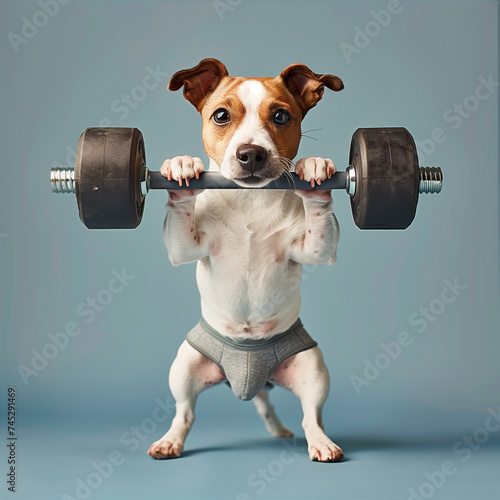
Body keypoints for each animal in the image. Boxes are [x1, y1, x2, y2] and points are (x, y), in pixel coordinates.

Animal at [146, 57, 346, 460]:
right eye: (221, 115)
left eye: (282, 116)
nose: (251, 153)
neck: (250, 202)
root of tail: (245, 383)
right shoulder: (185, 246)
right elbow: (180, 230)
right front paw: (180, 167)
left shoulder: (314, 248)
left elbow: (319, 230)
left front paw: (315, 167)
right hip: (186, 365)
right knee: (186, 412)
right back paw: (171, 441)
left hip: (311, 367)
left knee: (307, 415)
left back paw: (313, 440)